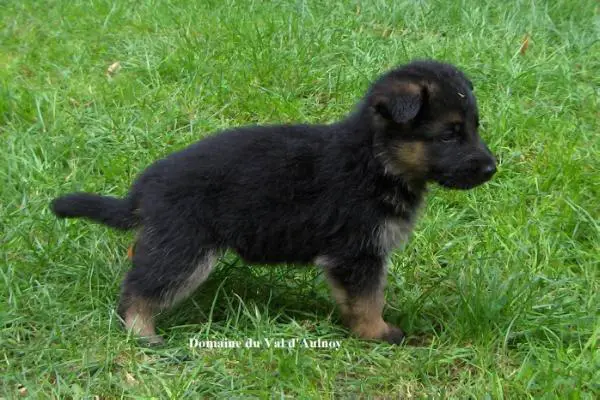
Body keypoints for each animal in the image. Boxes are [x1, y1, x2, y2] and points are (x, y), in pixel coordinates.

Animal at [50, 58, 496, 344]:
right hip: (186, 249)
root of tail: (144, 189)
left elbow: (363, 297)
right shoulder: (356, 253)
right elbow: (367, 300)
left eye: (474, 128)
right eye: (449, 134)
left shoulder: (359, 256)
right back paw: (143, 334)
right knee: (140, 290)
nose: (493, 168)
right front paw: (378, 333)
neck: (375, 159)